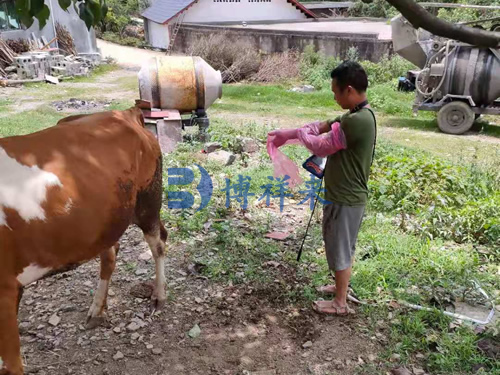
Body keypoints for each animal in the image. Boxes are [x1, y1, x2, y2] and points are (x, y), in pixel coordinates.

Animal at [0, 106, 168, 375]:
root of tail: (125, 112)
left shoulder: (5, 288)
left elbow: (11, 365)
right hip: (106, 219)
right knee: (110, 253)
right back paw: (97, 309)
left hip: (148, 198)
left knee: (158, 241)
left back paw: (158, 295)